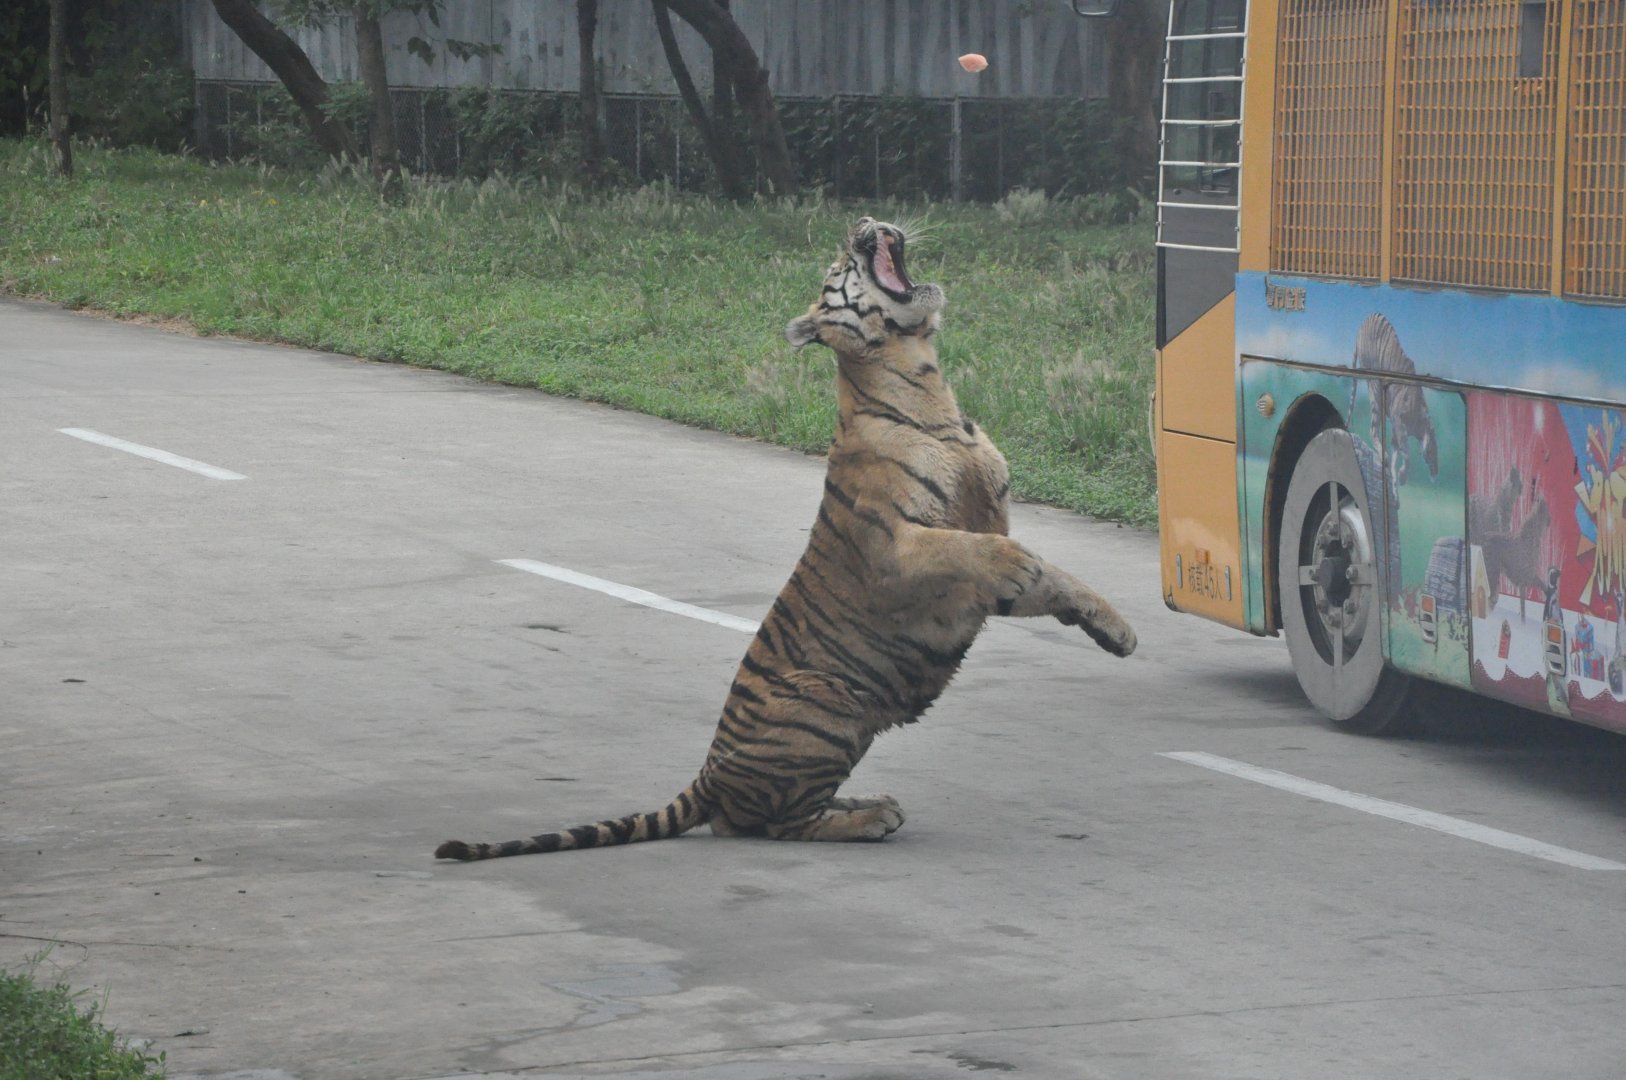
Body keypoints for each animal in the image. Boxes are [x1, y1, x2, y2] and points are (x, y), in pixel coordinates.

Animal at [434, 216, 1137, 861]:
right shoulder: (899, 548)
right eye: (838, 271)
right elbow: (986, 553)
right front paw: (1026, 569)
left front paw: (1119, 631)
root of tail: (707, 772)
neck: (927, 385)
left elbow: (1063, 580)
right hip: (825, 710)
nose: (861, 222)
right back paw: (871, 817)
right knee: (764, 824)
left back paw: (866, 802)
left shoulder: (983, 528)